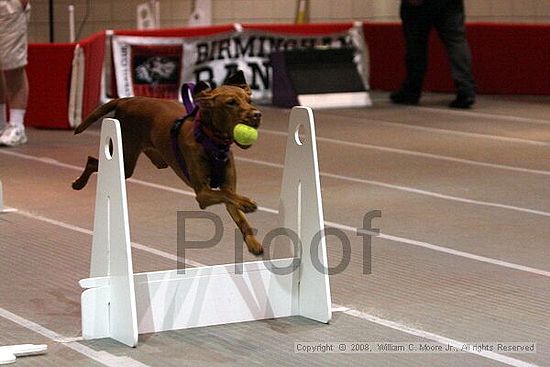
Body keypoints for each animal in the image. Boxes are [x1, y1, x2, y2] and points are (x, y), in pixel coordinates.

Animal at [74, 72, 266, 256]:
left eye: (249, 100)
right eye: (231, 103)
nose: (257, 115)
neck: (212, 142)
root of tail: (126, 100)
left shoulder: (227, 187)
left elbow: (237, 210)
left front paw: (253, 242)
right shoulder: (202, 194)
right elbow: (226, 194)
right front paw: (247, 202)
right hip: (124, 159)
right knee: (92, 161)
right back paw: (78, 183)